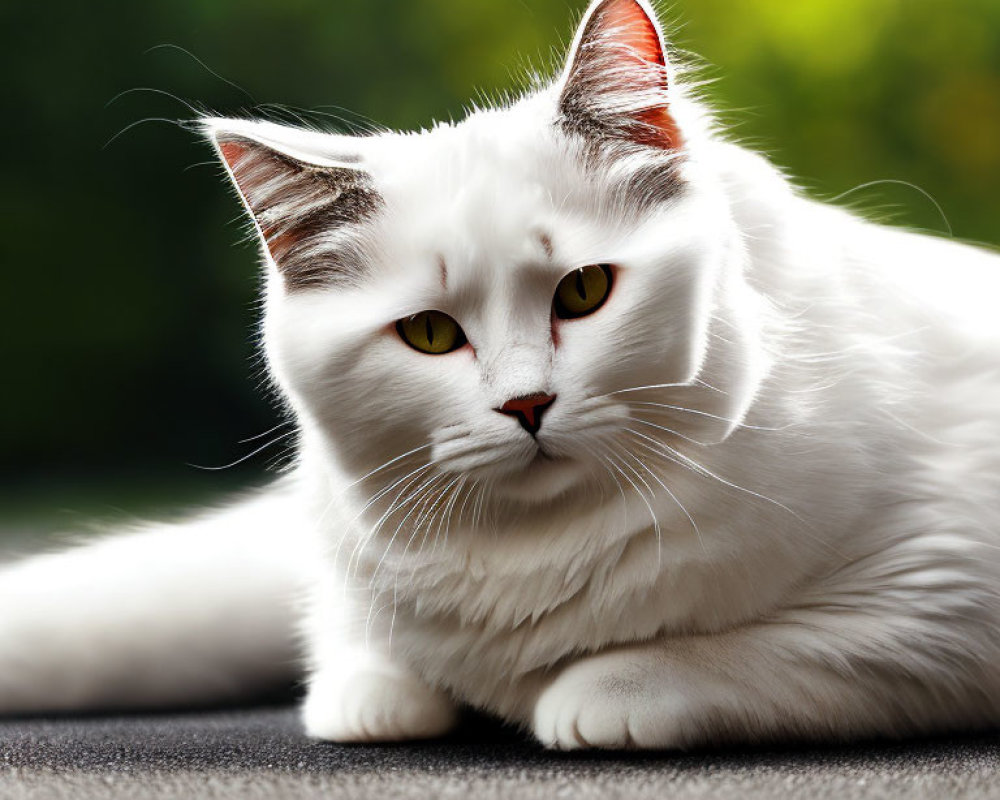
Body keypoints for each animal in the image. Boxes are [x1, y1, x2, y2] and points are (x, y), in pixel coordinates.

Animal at [1, 0, 1000, 752]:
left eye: (585, 291)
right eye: (431, 334)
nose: (528, 404)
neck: (534, 553)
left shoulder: (934, 610)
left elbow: (724, 655)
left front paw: (588, 695)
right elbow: (359, 653)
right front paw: (383, 691)